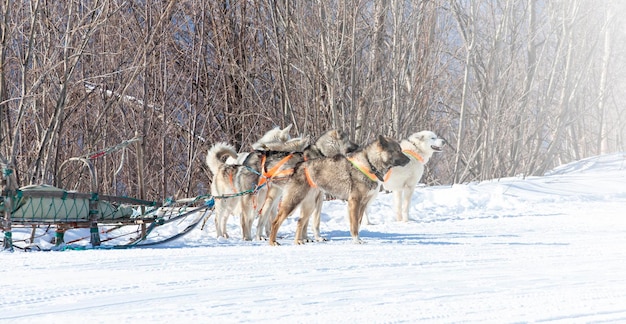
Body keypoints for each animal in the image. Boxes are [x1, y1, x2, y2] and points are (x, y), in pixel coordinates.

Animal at [270, 135, 410, 246]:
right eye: (397, 151)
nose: (409, 160)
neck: (369, 163)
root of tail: (299, 165)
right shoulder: (354, 202)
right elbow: (354, 225)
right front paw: (356, 240)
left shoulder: (362, 204)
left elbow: (358, 223)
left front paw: (357, 239)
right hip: (293, 202)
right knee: (276, 222)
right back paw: (273, 242)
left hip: (310, 205)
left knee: (300, 222)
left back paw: (298, 241)